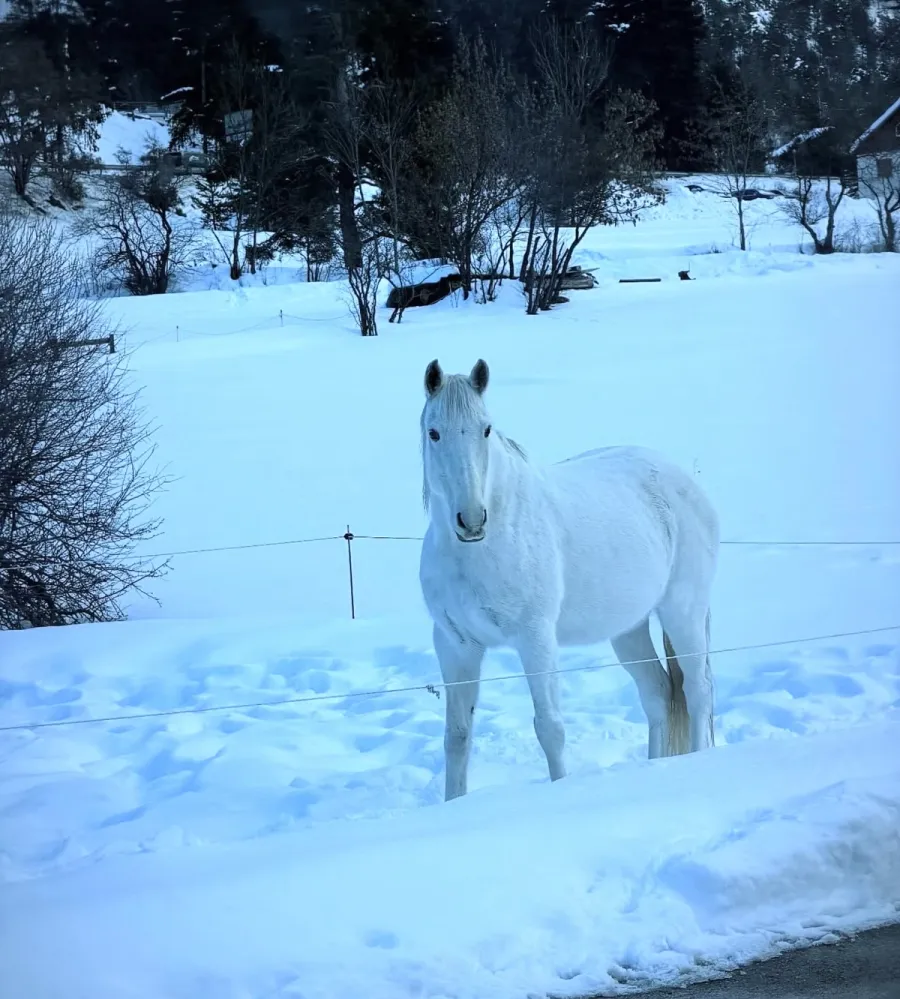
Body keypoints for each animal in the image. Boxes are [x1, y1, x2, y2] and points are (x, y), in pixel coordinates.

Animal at [418, 359, 720, 801]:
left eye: (486, 429)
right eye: (434, 432)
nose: (471, 521)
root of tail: (688, 482)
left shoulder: (536, 639)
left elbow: (550, 727)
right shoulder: (456, 646)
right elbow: (457, 736)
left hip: (684, 612)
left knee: (697, 691)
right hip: (629, 629)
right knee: (658, 694)